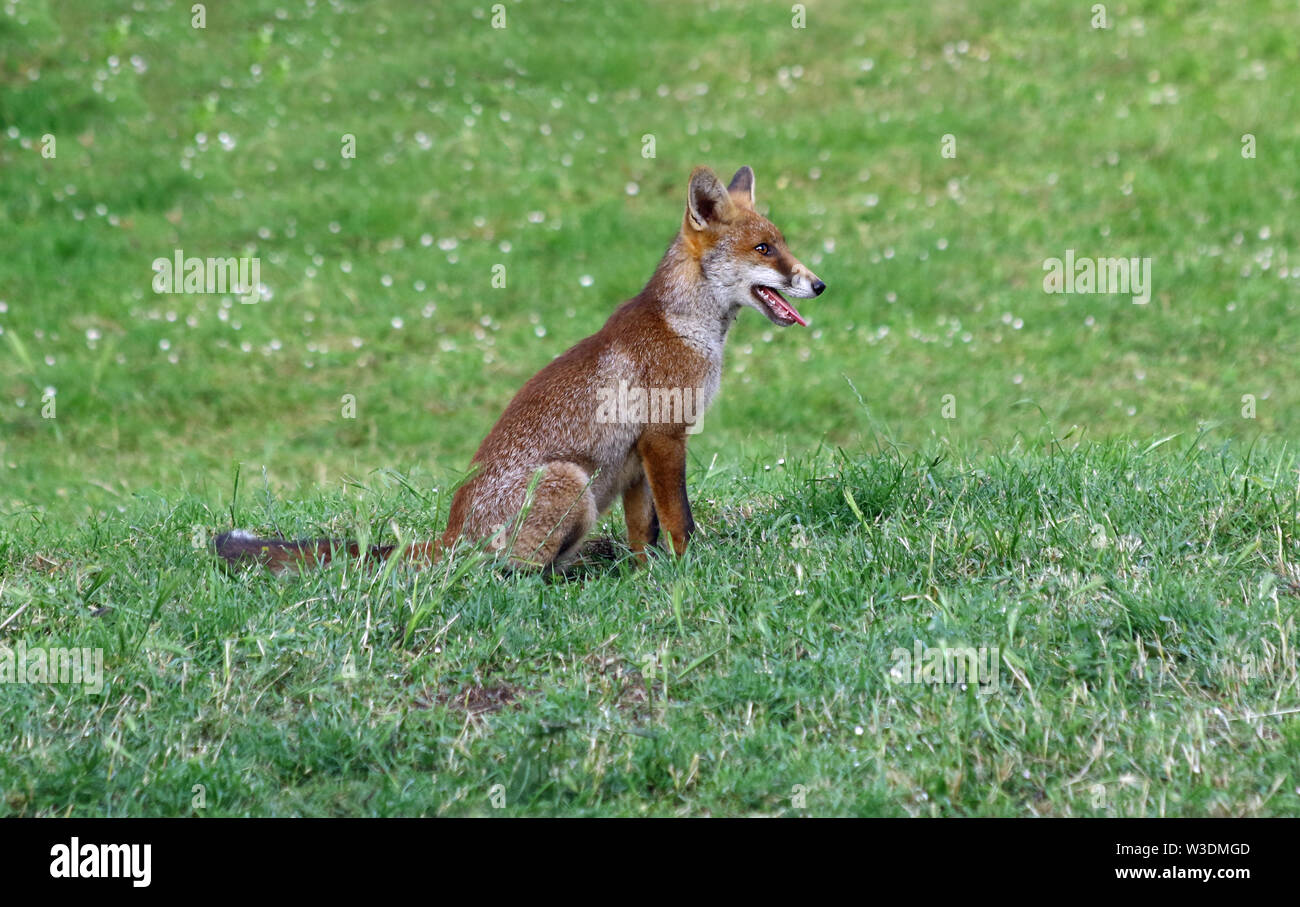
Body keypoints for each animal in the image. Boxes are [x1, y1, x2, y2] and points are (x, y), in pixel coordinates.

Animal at [211, 163, 821, 571]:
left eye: (781, 245)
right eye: (765, 249)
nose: (818, 284)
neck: (686, 327)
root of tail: (453, 533)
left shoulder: (636, 460)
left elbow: (641, 533)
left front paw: (647, 576)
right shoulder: (664, 437)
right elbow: (678, 521)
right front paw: (686, 573)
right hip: (569, 480)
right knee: (511, 575)